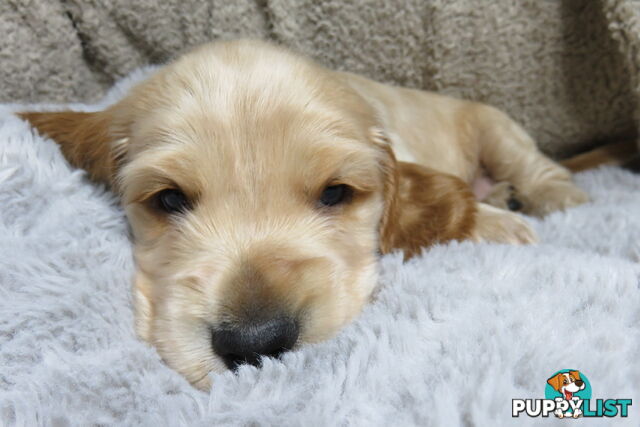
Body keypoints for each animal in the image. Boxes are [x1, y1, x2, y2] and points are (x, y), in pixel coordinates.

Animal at [20, 38, 588, 390]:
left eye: (335, 193)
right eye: (169, 199)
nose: (255, 343)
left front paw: (504, 224)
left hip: (496, 127)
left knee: (540, 169)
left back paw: (553, 200)